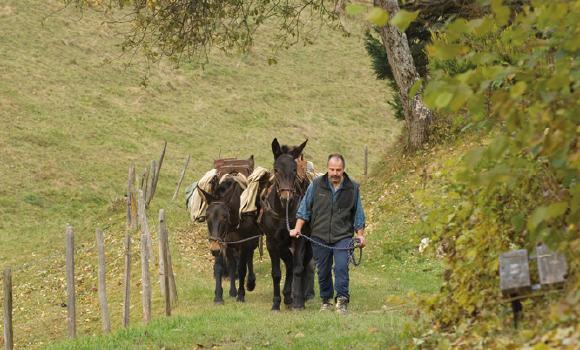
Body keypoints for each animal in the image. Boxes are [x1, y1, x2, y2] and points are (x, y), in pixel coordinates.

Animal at [199, 175, 260, 304]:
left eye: (225, 217)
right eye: (207, 217)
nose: (214, 250)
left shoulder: (243, 244)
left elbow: (242, 268)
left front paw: (241, 295)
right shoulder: (221, 243)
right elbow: (219, 267)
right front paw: (218, 296)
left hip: (251, 241)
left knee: (249, 258)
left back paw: (250, 283)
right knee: (232, 263)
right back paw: (233, 290)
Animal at [260, 138, 312, 310]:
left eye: (294, 170)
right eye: (276, 170)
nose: (286, 198)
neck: (284, 213)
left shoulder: (300, 239)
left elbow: (298, 269)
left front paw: (299, 302)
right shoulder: (272, 242)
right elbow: (276, 273)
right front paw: (276, 303)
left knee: (303, 265)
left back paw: (300, 296)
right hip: (282, 246)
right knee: (289, 264)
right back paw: (287, 296)